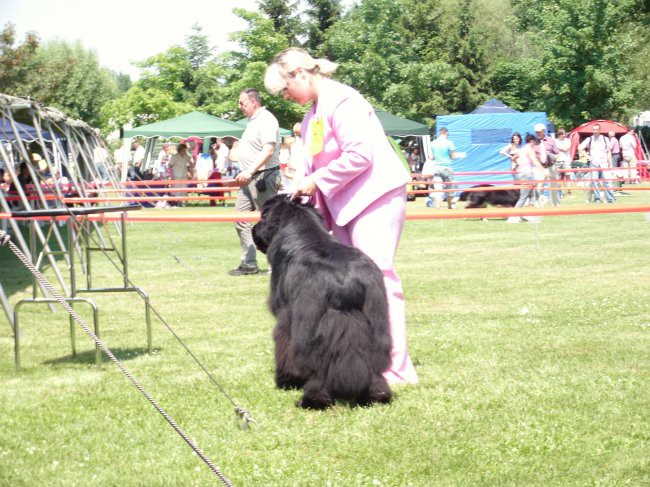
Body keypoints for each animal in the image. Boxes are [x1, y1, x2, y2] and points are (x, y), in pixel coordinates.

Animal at [249, 196, 390, 410]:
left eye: (262, 215)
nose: (253, 229)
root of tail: (345, 282)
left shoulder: (285, 315)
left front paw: (286, 382)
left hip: (310, 325)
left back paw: (312, 401)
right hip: (377, 320)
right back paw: (376, 397)